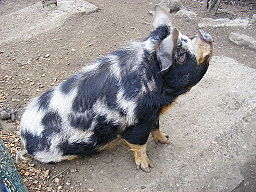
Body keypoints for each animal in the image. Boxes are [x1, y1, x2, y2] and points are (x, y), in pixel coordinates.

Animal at [17, 5, 212, 172]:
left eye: (188, 37)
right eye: (181, 54)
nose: (204, 34)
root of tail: (24, 137)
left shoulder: (153, 113)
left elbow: (157, 127)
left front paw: (167, 140)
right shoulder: (139, 120)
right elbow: (140, 143)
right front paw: (146, 168)